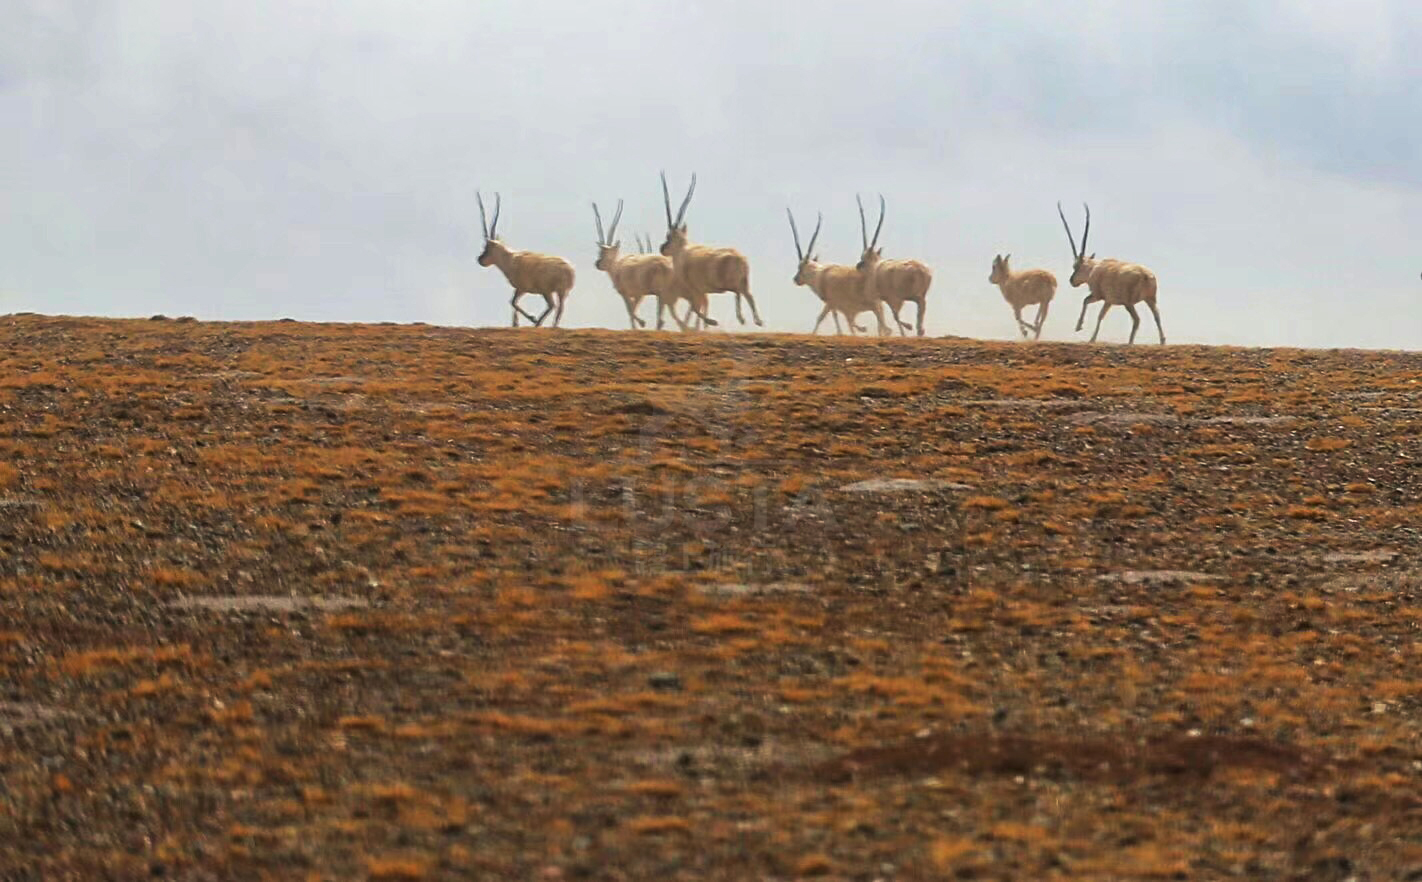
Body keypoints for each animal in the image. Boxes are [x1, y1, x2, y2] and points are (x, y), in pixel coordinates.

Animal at [472, 192, 571, 327]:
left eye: (487, 247)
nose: (480, 260)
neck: (510, 259)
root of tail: (570, 269)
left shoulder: (522, 288)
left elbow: (513, 303)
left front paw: (531, 318)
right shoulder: (519, 289)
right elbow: (513, 303)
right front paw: (516, 323)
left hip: (547, 291)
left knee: (553, 306)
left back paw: (538, 323)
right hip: (559, 292)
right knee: (559, 308)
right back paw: (550, 325)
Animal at [656, 170, 762, 325]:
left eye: (669, 236)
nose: (662, 249)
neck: (682, 251)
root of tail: (740, 258)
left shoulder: (696, 289)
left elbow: (695, 307)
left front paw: (712, 321)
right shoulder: (700, 290)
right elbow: (697, 306)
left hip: (730, 283)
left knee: (738, 292)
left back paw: (742, 318)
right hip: (743, 282)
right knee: (748, 295)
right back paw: (757, 321)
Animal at [790, 204, 887, 335]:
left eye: (800, 267)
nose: (796, 279)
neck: (820, 273)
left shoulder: (832, 303)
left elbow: (822, 318)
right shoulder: (837, 306)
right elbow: (839, 318)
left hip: (874, 303)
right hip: (876, 304)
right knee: (879, 323)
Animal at [853, 194, 932, 335]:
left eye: (863, 258)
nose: (858, 266)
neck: (874, 265)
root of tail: (919, 269)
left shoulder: (888, 298)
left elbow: (890, 316)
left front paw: (900, 330)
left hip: (905, 297)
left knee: (902, 314)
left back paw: (910, 329)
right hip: (918, 297)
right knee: (920, 315)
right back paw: (919, 331)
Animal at [1057, 203, 1166, 344]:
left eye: (1076, 266)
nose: (1071, 281)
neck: (1093, 268)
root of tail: (1145, 275)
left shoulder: (1099, 296)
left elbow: (1091, 307)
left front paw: (1086, 333)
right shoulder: (1108, 301)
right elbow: (1095, 310)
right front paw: (1084, 331)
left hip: (1128, 303)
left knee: (1137, 319)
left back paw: (1130, 342)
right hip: (1150, 300)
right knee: (1156, 316)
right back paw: (1162, 341)